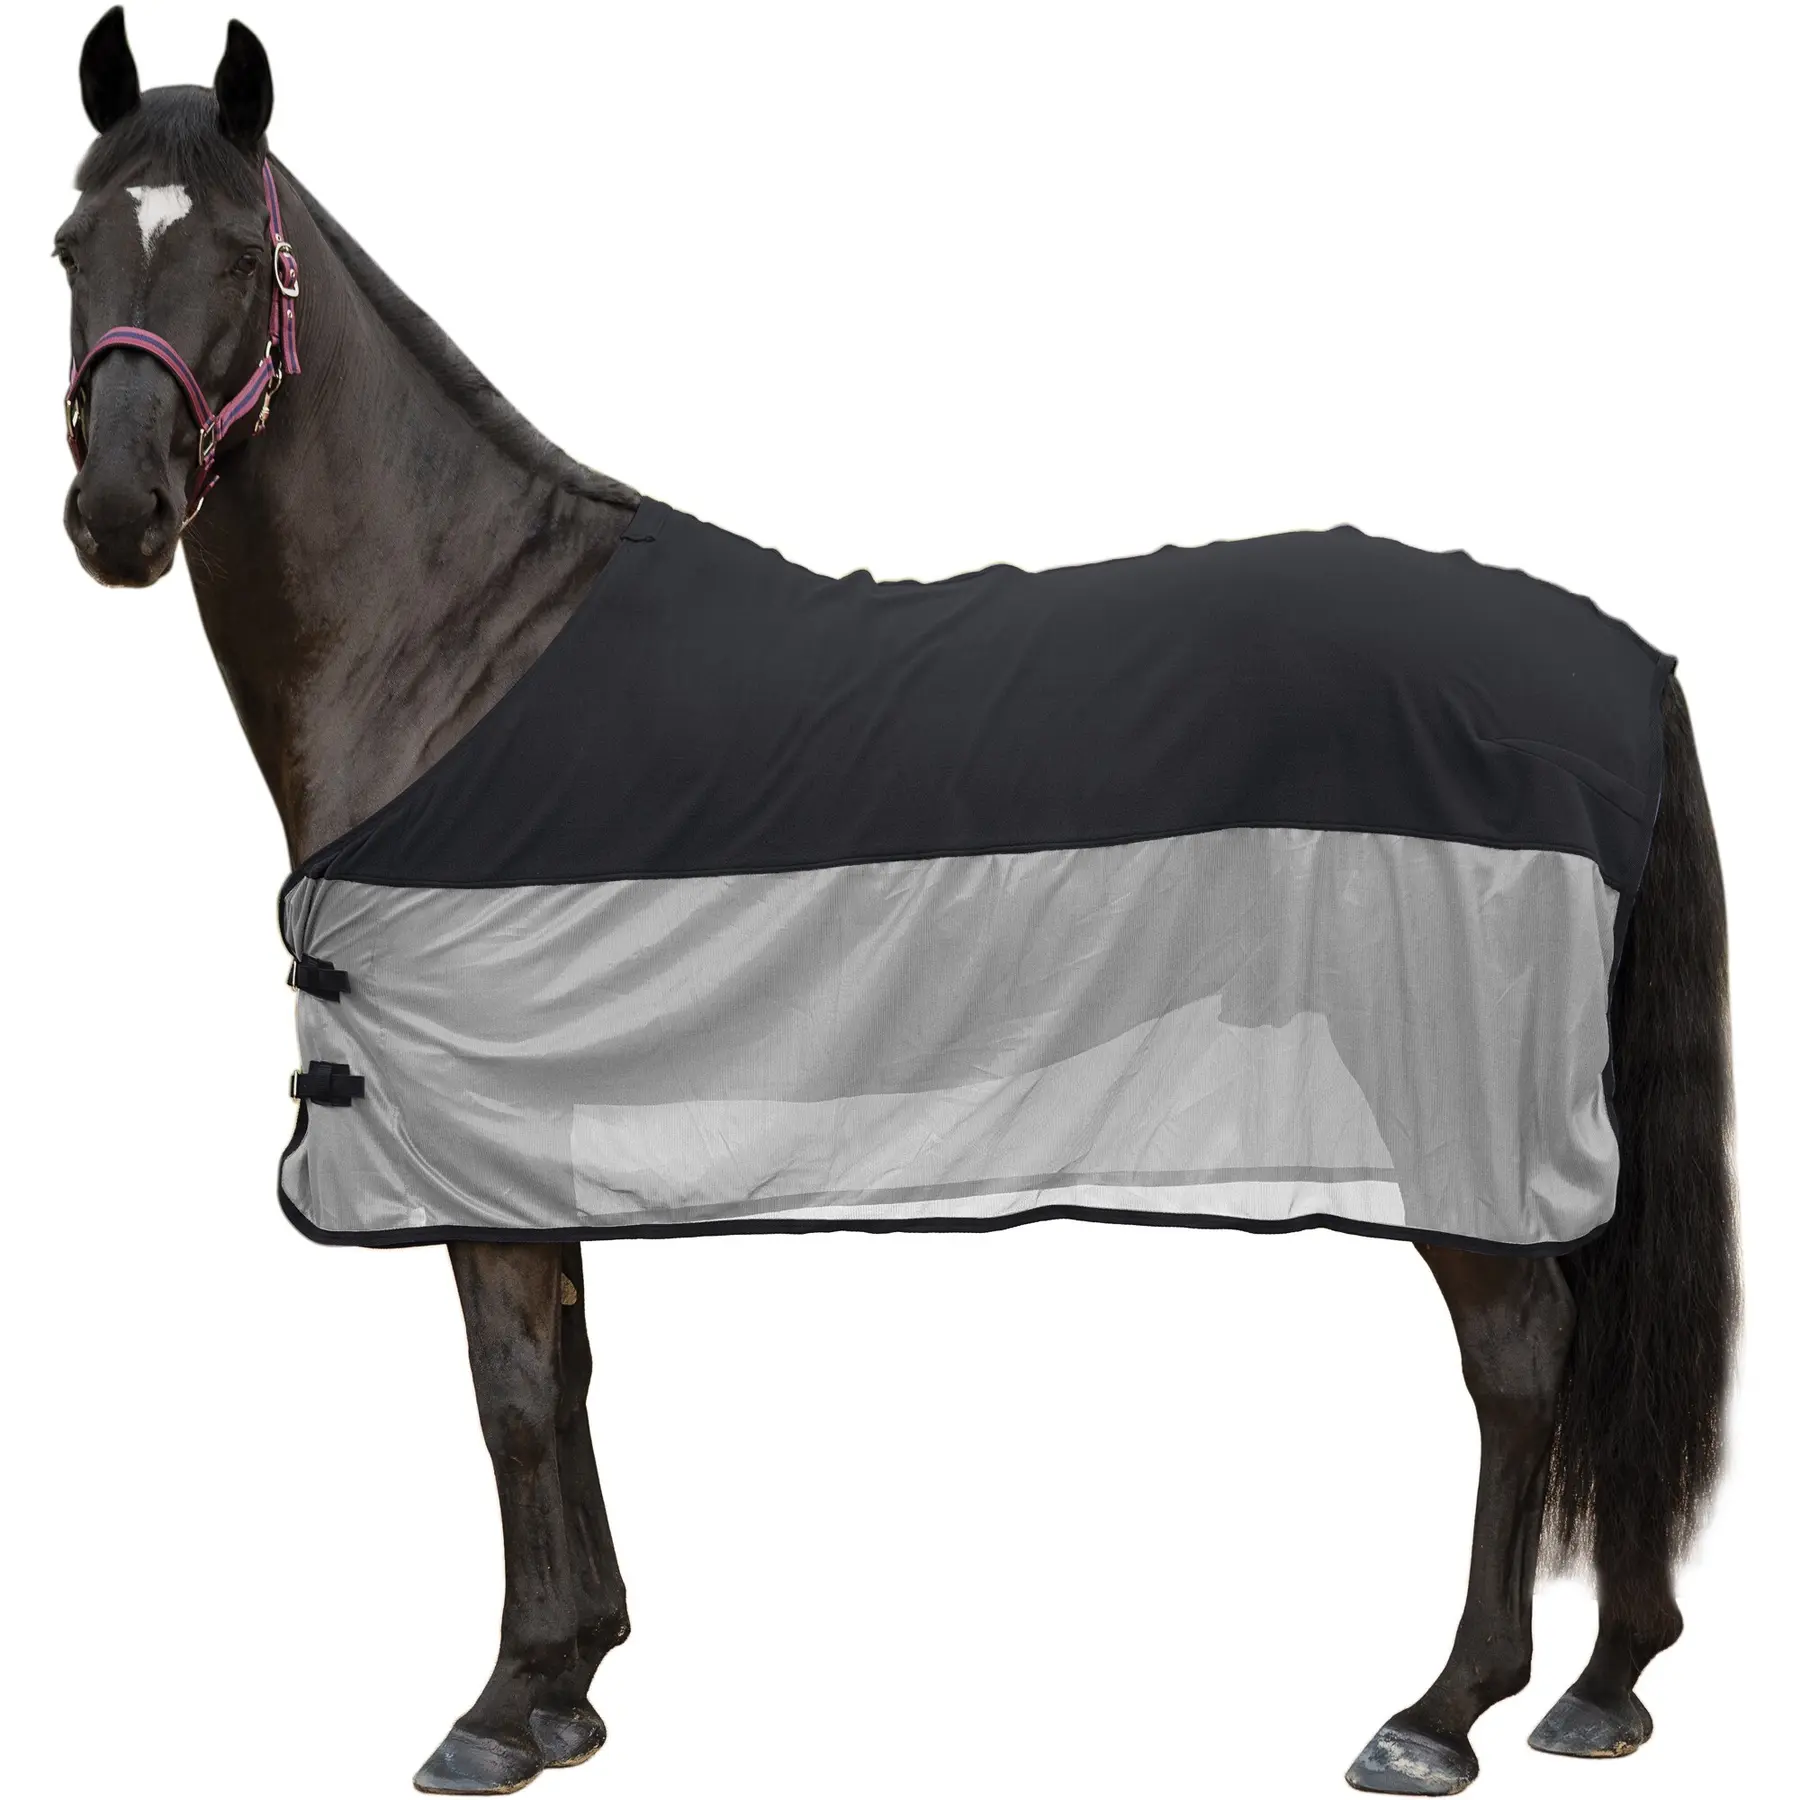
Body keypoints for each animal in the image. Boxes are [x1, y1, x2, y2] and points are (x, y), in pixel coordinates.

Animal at [56, 12, 1737, 1796]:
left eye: (243, 258)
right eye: (71, 246)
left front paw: (502, 1706)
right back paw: (1608, 1680)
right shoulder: (519, 1109)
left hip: (1456, 1098)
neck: (457, 645)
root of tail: (1622, 662)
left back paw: (1444, 1708)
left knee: (1526, 1355)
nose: (115, 515)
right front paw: (578, 1679)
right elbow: (569, 1371)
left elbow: (508, 1390)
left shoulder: (456, 1122)